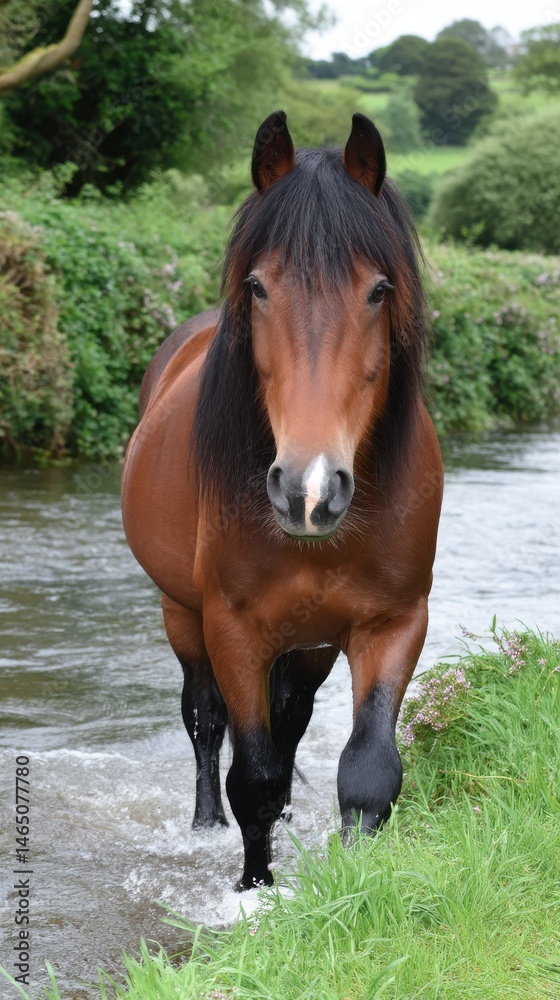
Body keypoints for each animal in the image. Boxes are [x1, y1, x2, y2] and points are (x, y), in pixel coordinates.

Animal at [121, 111, 443, 890]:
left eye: (379, 289)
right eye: (260, 287)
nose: (309, 489)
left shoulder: (393, 622)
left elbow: (368, 771)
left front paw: (355, 886)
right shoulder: (233, 627)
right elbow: (254, 776)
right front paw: (252, 890)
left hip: (314, 639)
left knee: (290, 719)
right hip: (182, 614)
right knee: (206, 721)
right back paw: (206, 825)